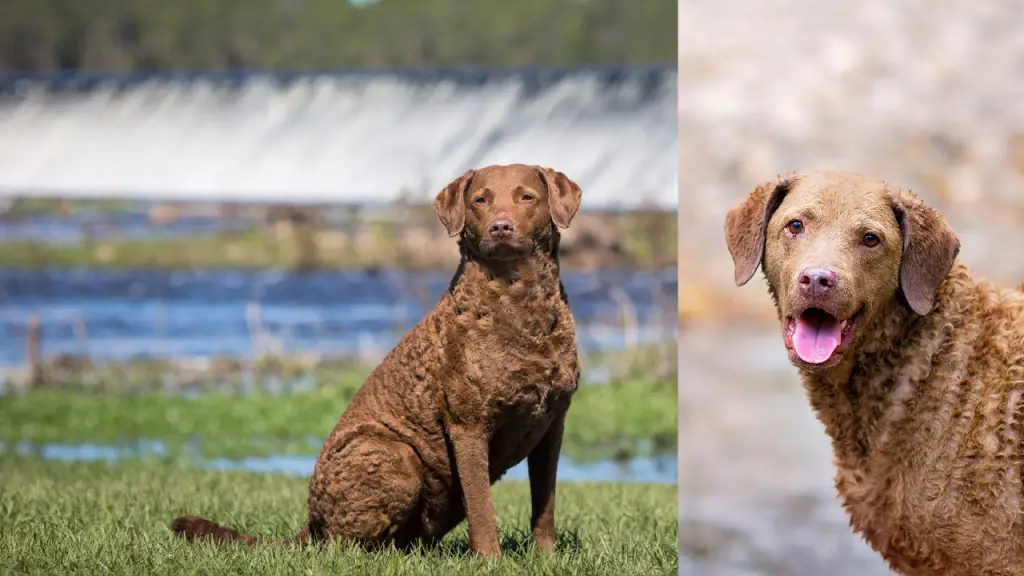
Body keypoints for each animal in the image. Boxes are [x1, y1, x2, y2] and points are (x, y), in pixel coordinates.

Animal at [172, 162, 581, 557]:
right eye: (480, 199)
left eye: (526, 197)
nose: (500, 226)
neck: (518, 303)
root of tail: (312, 523)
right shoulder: (469, 425)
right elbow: (482, 508)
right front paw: (490, 561)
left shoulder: (553, 424)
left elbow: (544, 503)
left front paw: (546, 558)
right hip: (393, 453)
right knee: (346, 544)